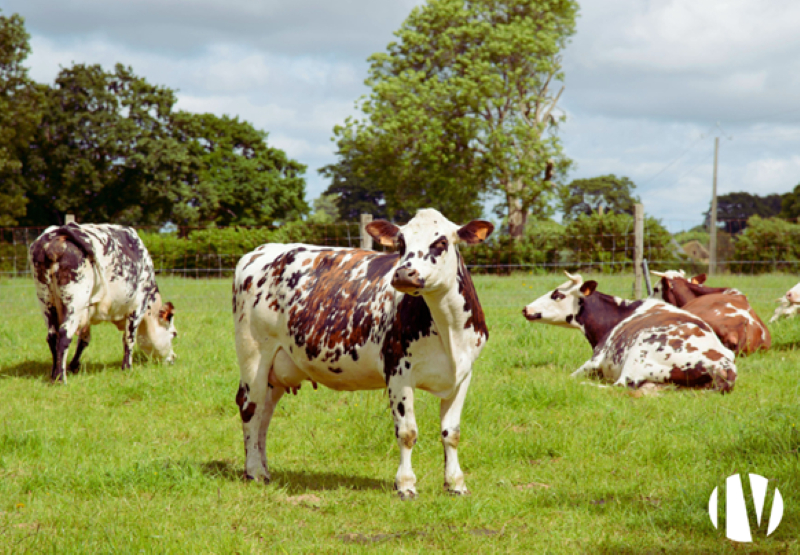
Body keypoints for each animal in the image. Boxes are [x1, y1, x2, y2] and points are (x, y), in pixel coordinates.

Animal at [30, 222, 177, 382]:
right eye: (174, 334)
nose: (173, 358)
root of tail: (60, 232)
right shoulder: (137, 308)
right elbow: (129, 339)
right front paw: (127, 368)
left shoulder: (87, 314)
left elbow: (84, 340)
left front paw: (74, 366)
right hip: (75, 302)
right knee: (64, 335)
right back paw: (60, 378)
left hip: (46, 301)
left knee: (52, 336)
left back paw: (54, 373)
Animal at [233, 208, 494, 500]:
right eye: (401, 243)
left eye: (441, 242)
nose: (404, 274)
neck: (449, 329)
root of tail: (261, 250)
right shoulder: (398, 372)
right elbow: (407, 432)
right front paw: (406, 485)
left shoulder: (462, 375)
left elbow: (452, 433)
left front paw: (456, 483)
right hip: (253, 354)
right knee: (250, 408)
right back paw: (253, 471)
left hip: (276, 370)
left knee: (264, 415)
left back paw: (264, 469)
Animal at [520, 272, 736, 394]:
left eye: (557, 294)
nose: (525, 308)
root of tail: (723, 366)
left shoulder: (595, 359)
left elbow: (571, 375)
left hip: (637, 357)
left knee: (619, 387)